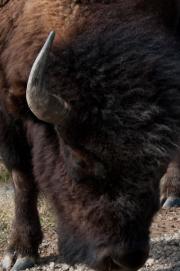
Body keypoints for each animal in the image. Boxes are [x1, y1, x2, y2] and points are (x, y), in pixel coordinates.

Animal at [0, 0, 180, 271]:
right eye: (79, 159)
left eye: (156, 166)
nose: (124, 259)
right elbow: (22, 177)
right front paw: (19, 253)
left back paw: (171, 194)